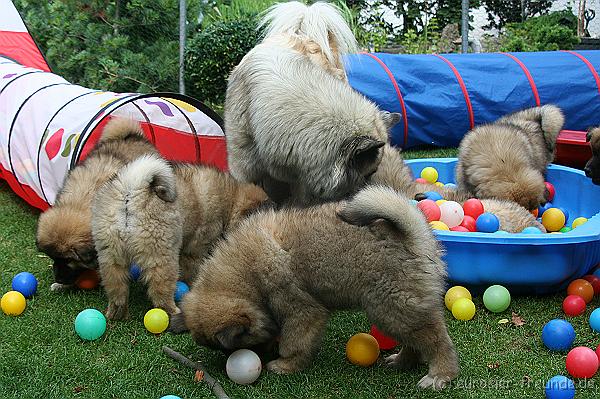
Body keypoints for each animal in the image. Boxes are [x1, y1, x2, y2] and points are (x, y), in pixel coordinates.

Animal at [91, 155, 270, 320]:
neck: (231, 201)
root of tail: (133, 188)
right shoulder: (195, 249)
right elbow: (192, 271)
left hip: (110, 255)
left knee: (116, 289)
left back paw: (116, 314)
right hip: (162, 257)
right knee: (160, 292)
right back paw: (174, 312)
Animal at [173, 187, 460, 390]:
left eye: (239, 344)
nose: (255, 356)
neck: (247, 272)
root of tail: (414, 237)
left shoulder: (302, 311)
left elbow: (295, 342)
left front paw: (285, 364)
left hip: (391, 307)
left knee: (436, 340)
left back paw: (440, 374)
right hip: (394, 310)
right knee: (416, 341)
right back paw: (401, 362)